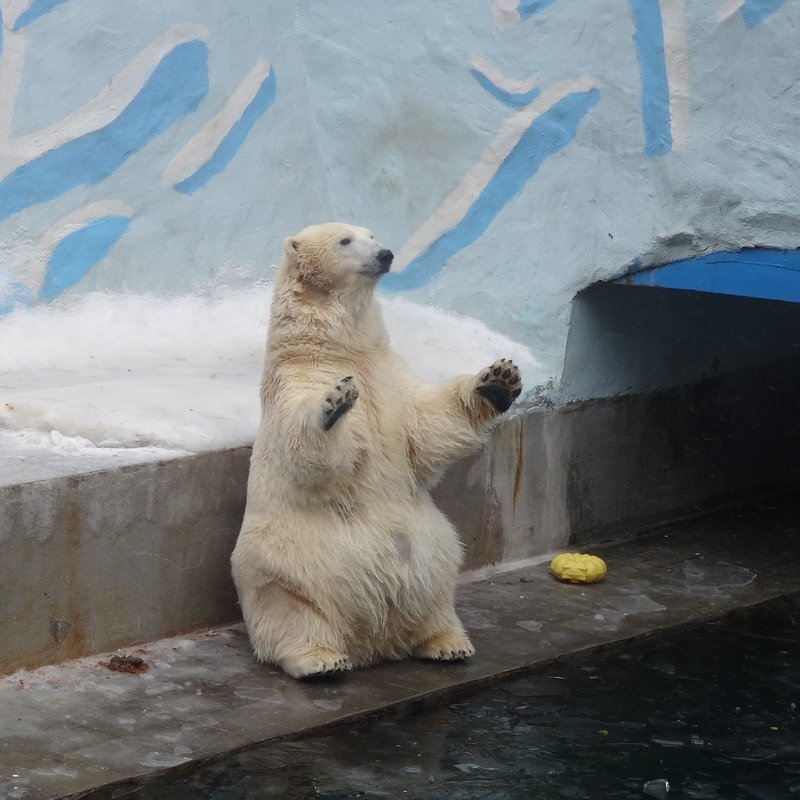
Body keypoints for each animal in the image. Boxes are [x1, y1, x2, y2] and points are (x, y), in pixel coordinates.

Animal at [228, 222, 520, 680]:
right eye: (344, 240)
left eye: (370, 233)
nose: (385, 254)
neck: (339, 348)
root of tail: (374, 642)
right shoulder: (294, 380)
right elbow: (308, 452)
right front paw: (333, 404)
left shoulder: (391, 379)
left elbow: (427, 426)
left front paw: (498, 381)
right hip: (284, 566)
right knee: (291, 615)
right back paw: (321, 660)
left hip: (435, 559)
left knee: (437, 597)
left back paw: (448, 643)